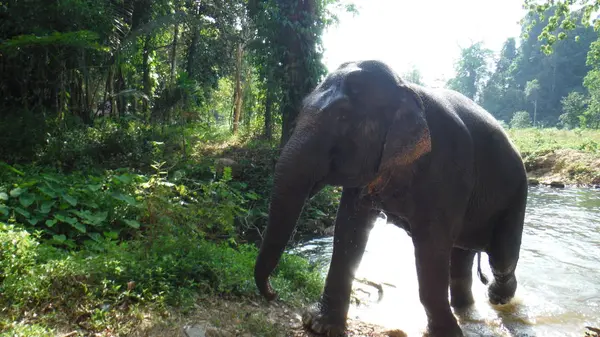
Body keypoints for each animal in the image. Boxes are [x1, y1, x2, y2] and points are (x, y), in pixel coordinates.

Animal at [255, 59, 528, 334]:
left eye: (343, 117)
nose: (273, 292)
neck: (405, 87)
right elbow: (349, 229)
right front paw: (319, 325)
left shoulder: (449, 168)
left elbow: (431, 246)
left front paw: (446, 334)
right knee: (462, 259)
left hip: (516, 194)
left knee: (502, 257)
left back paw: (497, 296)